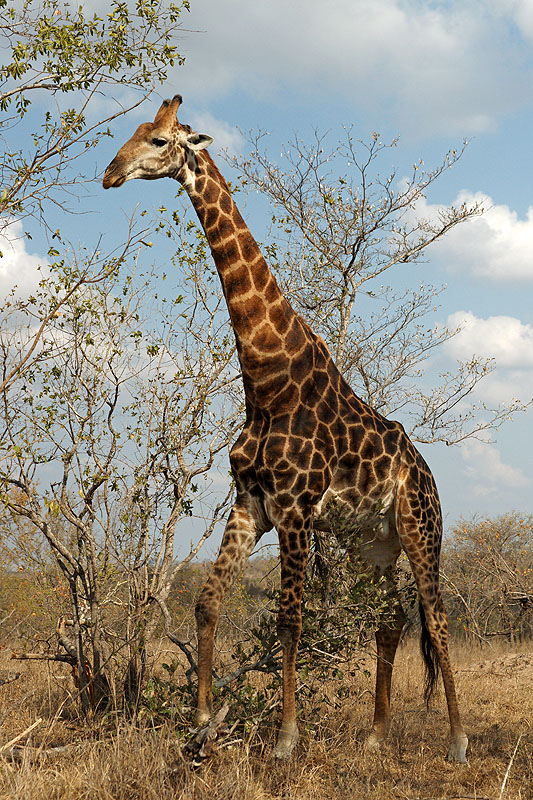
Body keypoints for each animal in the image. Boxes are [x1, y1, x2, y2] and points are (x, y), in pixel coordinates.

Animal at [103, 94, 466, 764]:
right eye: (135, 131)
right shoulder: (251, 502)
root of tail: (427, 473)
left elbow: (290, 620)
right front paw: (200, 723)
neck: (268, 377)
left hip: (419, 530)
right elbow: (207, 603)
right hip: (369, 543)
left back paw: (455, 739)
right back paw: (376, 734)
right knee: (389, 619)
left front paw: (285, 739)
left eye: (162, 141)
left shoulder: (295, 509)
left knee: (436, 616)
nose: (112, 173)